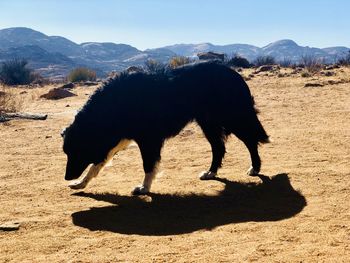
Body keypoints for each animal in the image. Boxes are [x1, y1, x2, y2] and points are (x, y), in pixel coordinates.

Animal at [61, 62, 270, 196]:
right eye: (67, 153)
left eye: (76, 153)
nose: (66, 177)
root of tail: (234, 74)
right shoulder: (119, 138)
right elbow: (96, 165)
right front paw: (80, 183)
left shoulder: (148, 139)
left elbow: (148, 165)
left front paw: (144, 188)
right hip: (208, 123)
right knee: (219, 147)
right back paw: (211, 173)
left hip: (234, 117)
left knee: (250, 141)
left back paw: (255, 168)